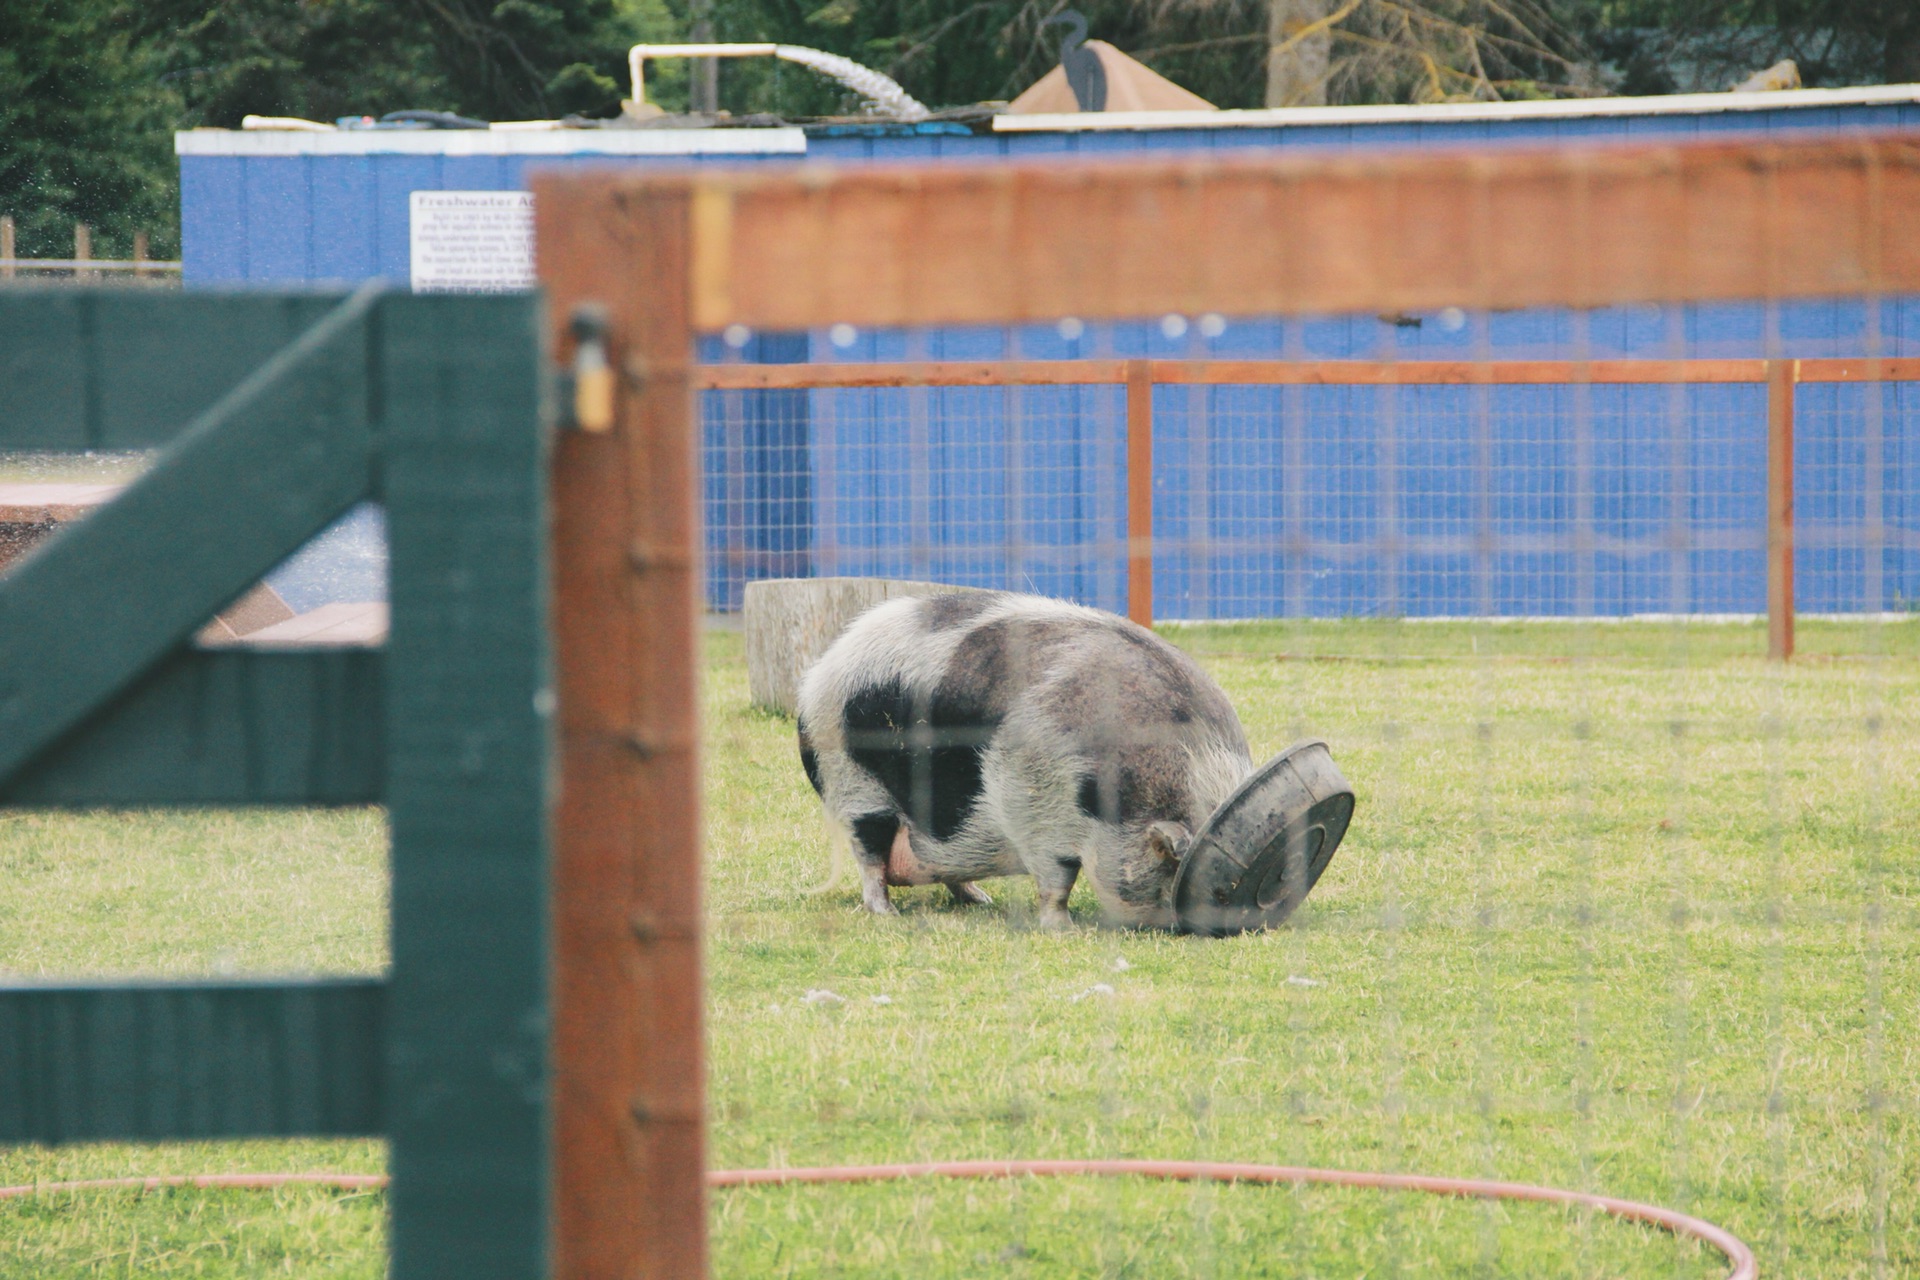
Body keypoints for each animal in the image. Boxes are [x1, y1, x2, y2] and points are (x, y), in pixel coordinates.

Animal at [791, 591, 1251, 932]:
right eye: (1170, 865)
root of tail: (816, 675)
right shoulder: (1030, 796)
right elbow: (1056, 879)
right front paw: (1065, 930)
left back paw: (980, 900)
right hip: (853, 782)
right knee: (869, 852)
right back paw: (886, 912)